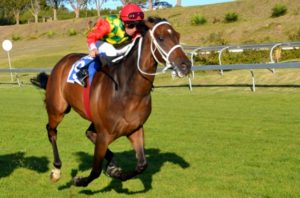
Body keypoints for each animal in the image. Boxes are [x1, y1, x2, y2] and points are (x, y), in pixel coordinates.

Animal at [31, 17, 191, 187]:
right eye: (161, 38)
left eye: (178, 36)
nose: (186, 65)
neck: (128, 90)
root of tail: (62, 61)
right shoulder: (104, 135)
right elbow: (95, 171)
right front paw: (79, 180)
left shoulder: (134, 129)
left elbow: (142, 164)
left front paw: (116, 172)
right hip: (57, 109)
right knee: (51, 131)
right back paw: (56, 169)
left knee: (88, 133)